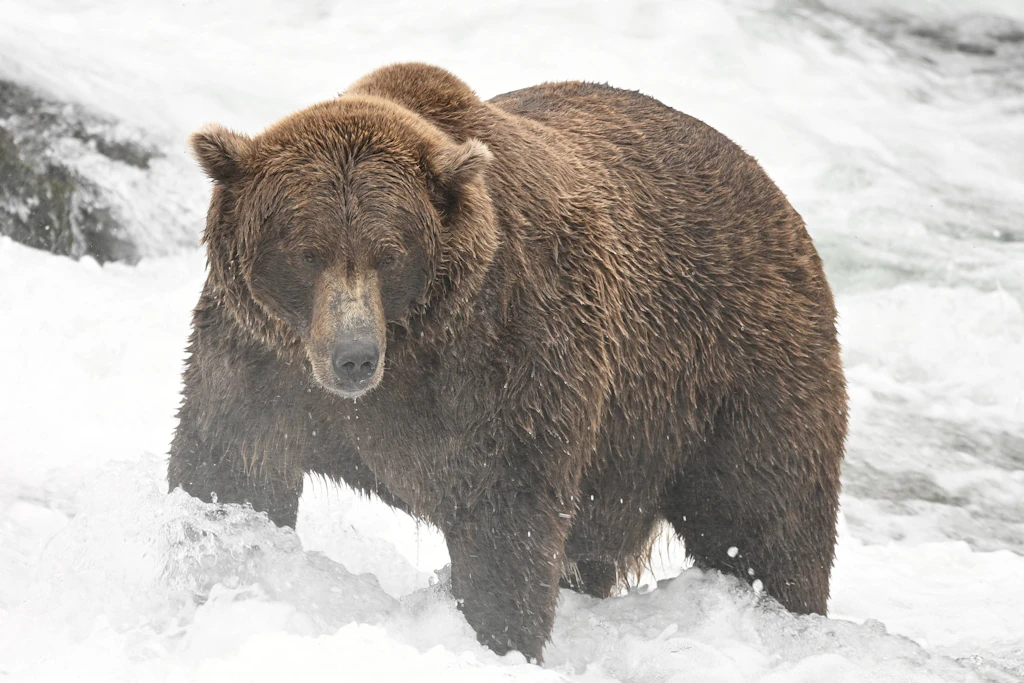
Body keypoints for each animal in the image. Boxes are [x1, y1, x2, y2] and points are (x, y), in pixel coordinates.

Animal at [169, 62, 847, 662]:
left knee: (766, 523)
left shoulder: (507, 357)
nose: (353, 358)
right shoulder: (259, 361)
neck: (413, 348)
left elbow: (505, 522)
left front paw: (495, 638)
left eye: (389, 254)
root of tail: (778, 200)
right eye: (307, 251)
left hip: (733, 376)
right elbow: (231, 469)